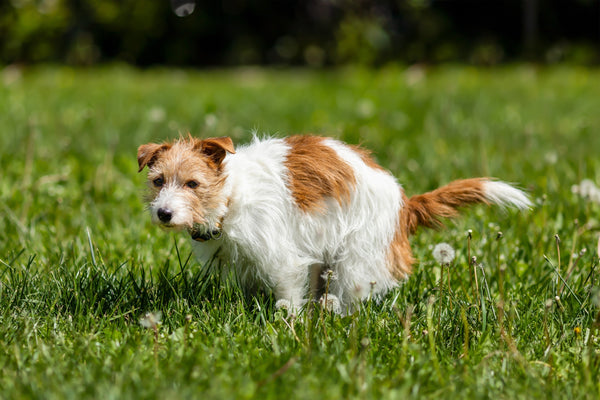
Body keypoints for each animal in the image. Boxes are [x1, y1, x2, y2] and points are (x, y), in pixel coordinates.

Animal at [138, 134, 532, 312]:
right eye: (158, 181)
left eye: (193, 184)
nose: (164, 213)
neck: (231, 197)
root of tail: (404, 204)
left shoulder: (284, 260)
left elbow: (287, 296)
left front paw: (287, 327)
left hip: (357, 258)